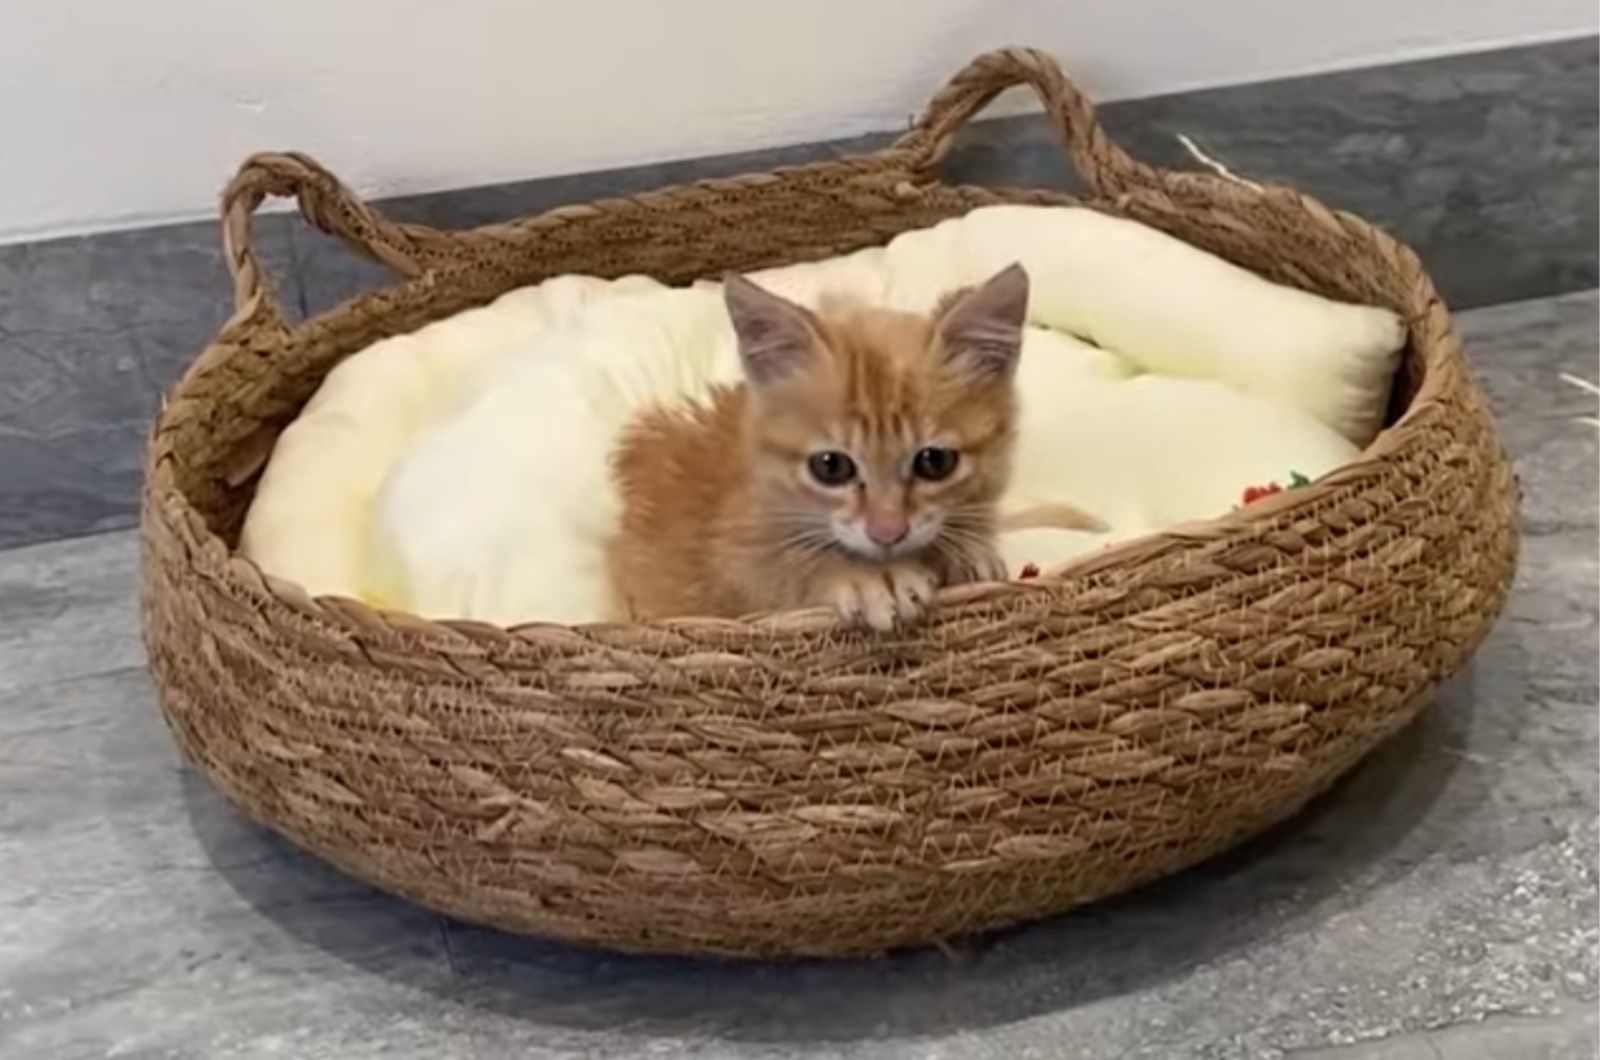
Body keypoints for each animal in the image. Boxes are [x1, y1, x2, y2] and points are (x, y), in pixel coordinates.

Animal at [604, 264, 1030, 630]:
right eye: (830, 467)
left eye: (935, 461)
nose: (887, 533)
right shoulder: (728, 561)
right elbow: (780, 569)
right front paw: (869, 578)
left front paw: (968, 549)